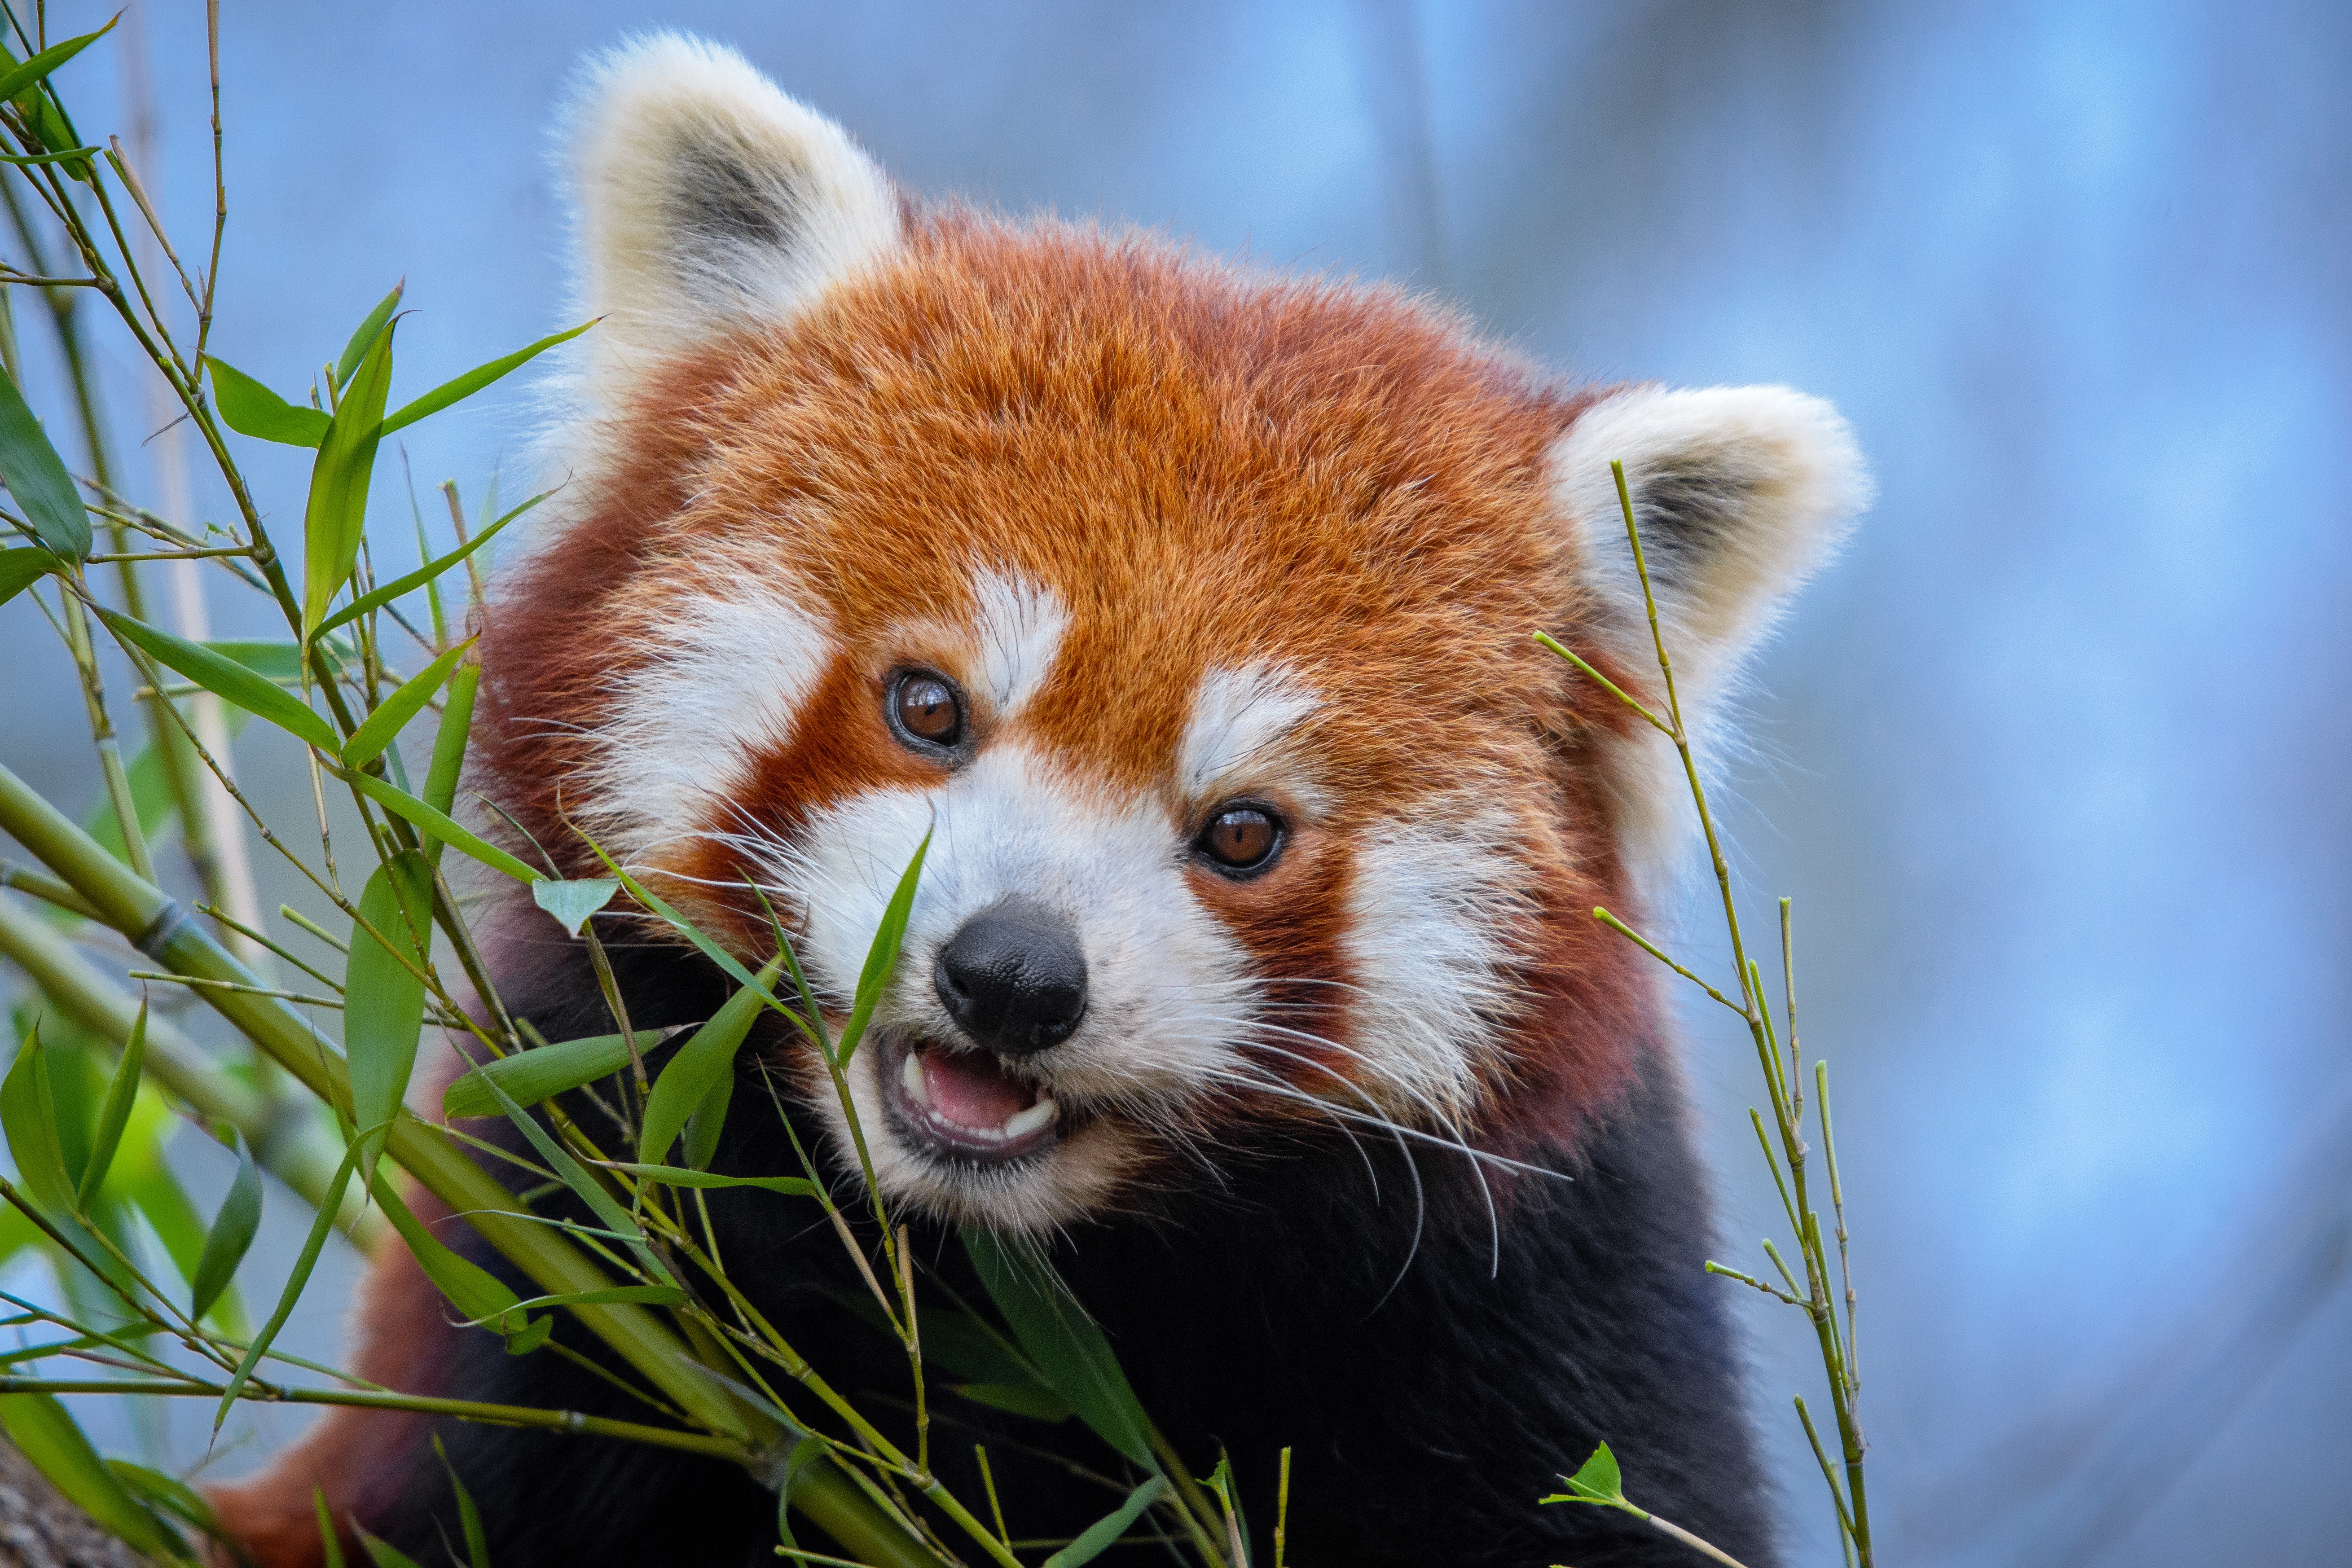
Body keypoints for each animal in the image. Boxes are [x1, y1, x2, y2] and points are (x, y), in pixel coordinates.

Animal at [207, 34, 1872, 1568]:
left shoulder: (1547, 1310)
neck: (995, 1279)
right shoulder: (559, 1232)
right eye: (928, 707)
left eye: (1242, 830)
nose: (1009, 975)